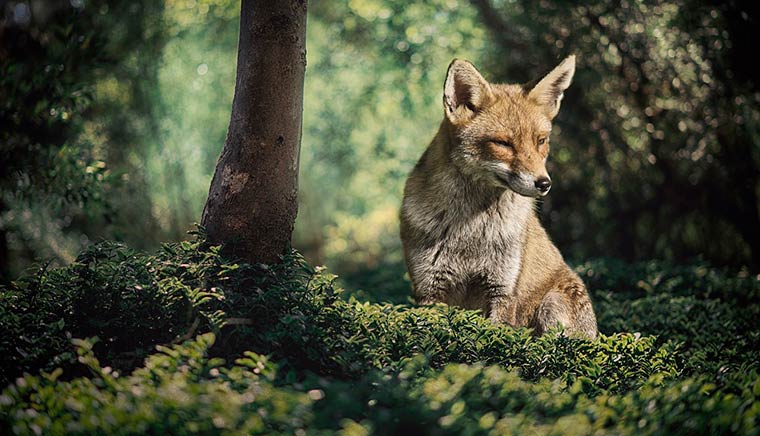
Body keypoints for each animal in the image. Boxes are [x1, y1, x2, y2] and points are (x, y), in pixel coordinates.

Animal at [400, 56, 596, 338]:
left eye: (541, 141)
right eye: (503, 143)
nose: (544, 183)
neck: (470, 232)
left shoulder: (503, 289)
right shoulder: (430, 290)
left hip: (552, 305)